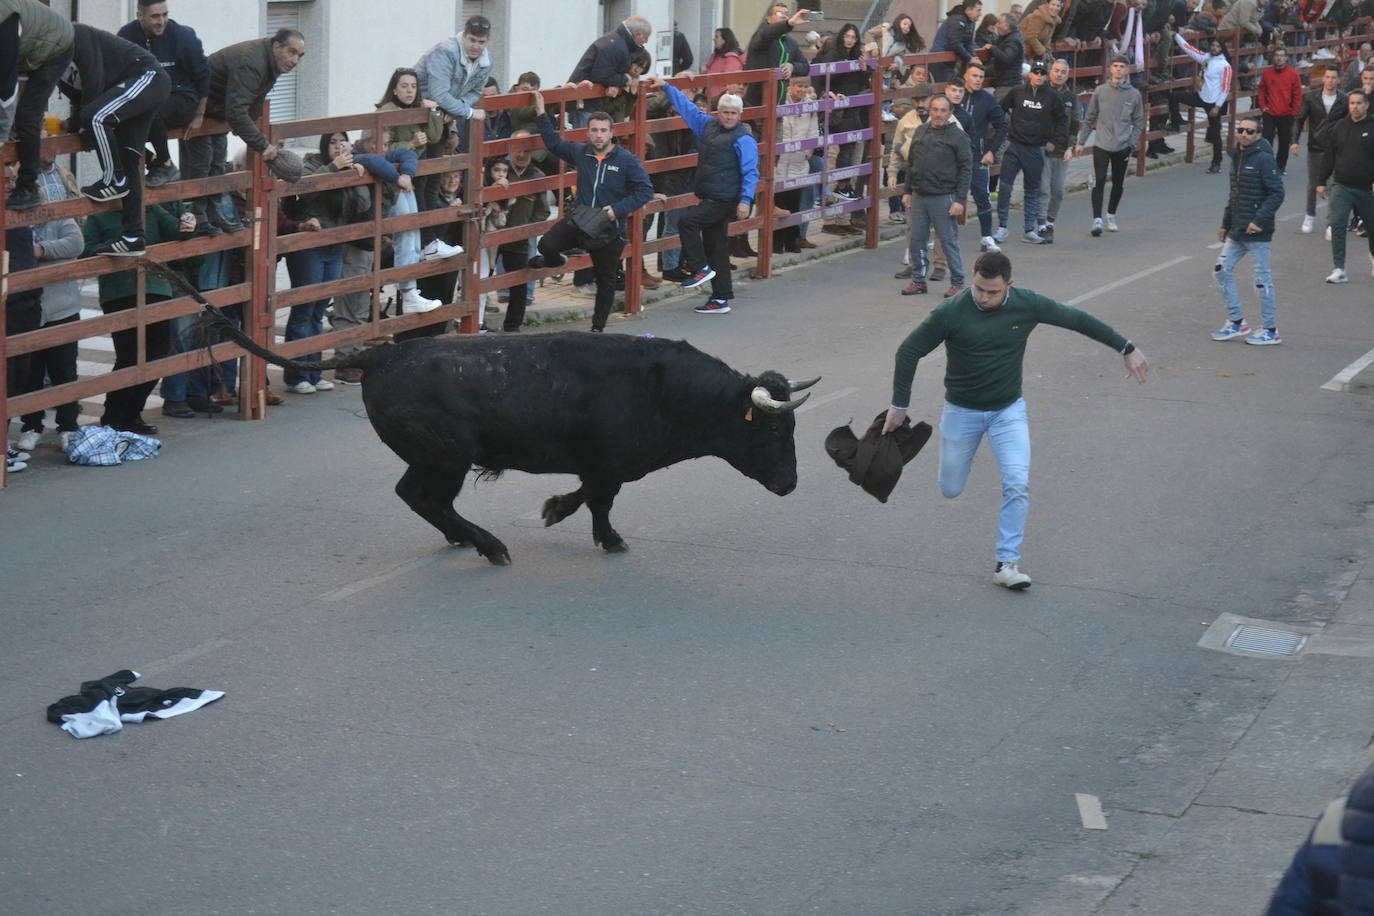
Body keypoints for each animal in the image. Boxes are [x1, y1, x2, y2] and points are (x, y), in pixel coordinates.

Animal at [193, 300, 813, 563]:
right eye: (773, 432)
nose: (790, 485)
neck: (660, 386)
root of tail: (379, 356)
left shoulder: (604, 464)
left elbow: (592, 496)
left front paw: (567, 517)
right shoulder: (607, 462)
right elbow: (599, 499)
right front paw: (594, 531)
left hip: (434, 458)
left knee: (422, 499)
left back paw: (465, 539)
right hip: (445, 456)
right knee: (422, 497)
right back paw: (489, 546)